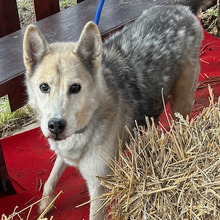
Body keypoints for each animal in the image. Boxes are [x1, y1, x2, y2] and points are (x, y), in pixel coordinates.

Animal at [23, 0, 211, 219]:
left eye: (75, 87)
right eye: (44, 87)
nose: (55, 125)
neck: (87, 123)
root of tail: (179, 7)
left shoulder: (99, 186)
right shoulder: (63, 151)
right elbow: (51, 177)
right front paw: (45, 203)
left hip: (181, 102)